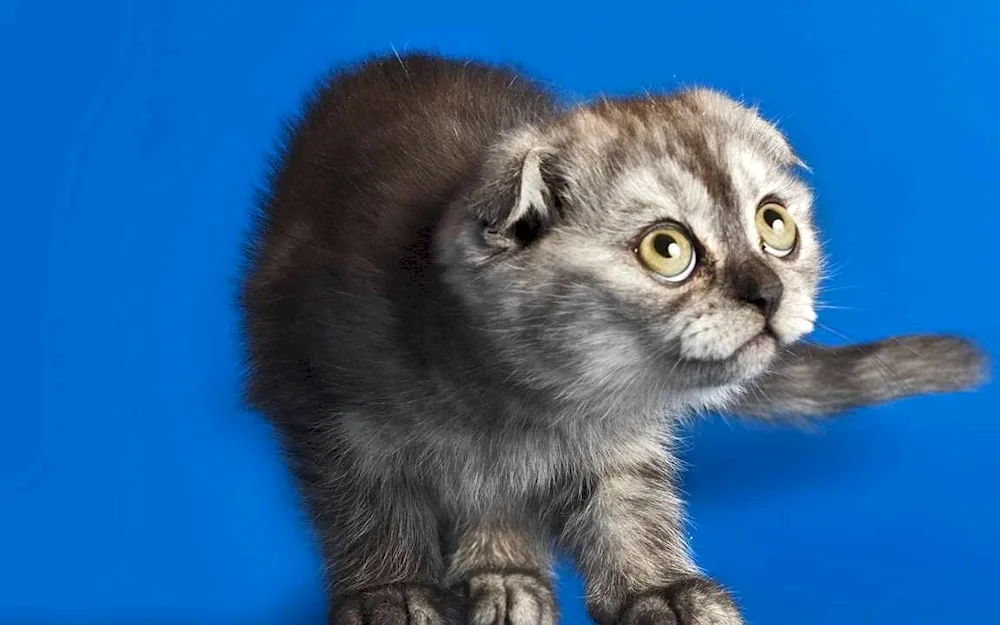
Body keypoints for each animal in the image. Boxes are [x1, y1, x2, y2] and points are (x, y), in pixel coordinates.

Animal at [240, 53, 984, 624]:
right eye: (667, 249)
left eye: (775, 225)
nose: (769, 293)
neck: (514, 404)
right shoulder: (326, 406)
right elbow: (369, 501)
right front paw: (389, 591)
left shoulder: (619, 438)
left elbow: (628, 504)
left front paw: (658, 589)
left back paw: (504, 573)